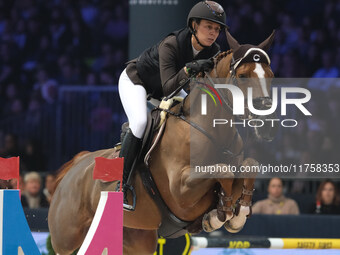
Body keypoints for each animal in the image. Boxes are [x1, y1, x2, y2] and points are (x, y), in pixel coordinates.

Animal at [47, 30, 276, 255]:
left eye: (271, 76)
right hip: (66, 240)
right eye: (242, 76)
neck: (212, 130)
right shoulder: (180, 189)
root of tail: (78, 164)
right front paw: (219, 217)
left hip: (137, 239)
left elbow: (248, 166)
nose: (266, 124)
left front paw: (235, 214)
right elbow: (223, 171)